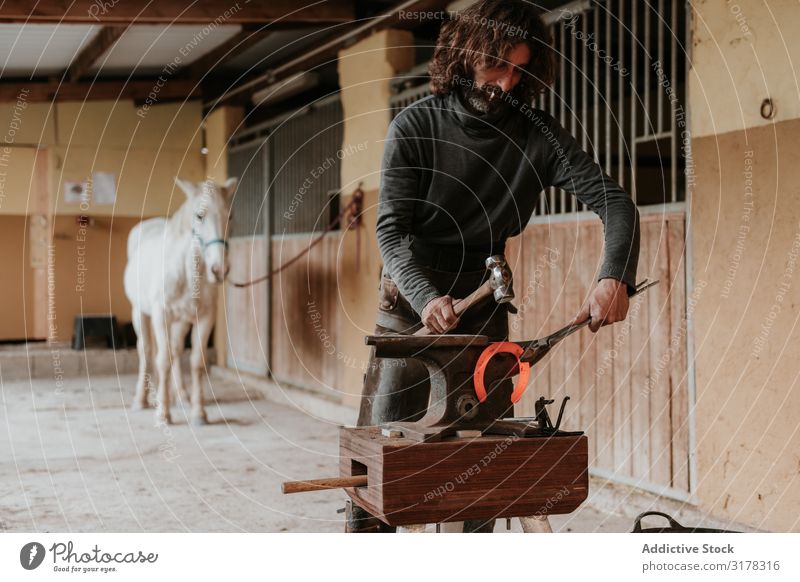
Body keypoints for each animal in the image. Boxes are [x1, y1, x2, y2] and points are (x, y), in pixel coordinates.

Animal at [123, 176, 238, 426]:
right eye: (199, 215)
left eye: (230, 216)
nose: (219, 270)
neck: (186, 273)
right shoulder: (160, 315)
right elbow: (162, 360)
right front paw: (163, 414)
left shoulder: (204, 317)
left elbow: (196, 362)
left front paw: (198, 412)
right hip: (139, 312)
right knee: (146, 351)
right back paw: (141, 400)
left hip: (181, 321)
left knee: (175, 350)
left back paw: (181, 396)